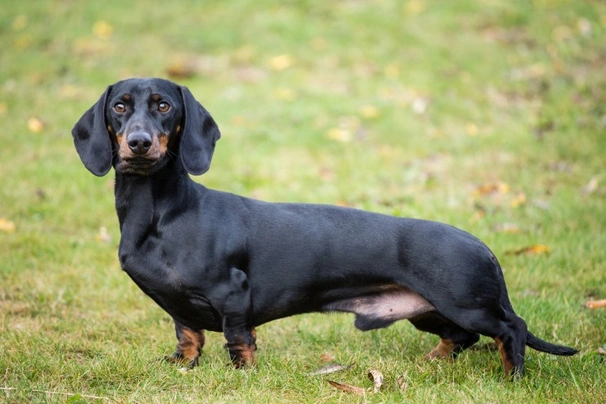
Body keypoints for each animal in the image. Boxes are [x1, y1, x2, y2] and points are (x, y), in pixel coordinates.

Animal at [72, 78, 580, 376]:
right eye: (120, 107)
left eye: (163, 107)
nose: (139, 143)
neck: (162, 214)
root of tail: (483, 246)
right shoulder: (177, 304)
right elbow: (188, 334)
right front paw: (182, 364)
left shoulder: (232, 293)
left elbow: (238, 339)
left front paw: (242, 374)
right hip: (430, 311)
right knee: (462, 337)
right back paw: (432, 363)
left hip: (466, 303)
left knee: (511, 328)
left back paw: (512, 375)